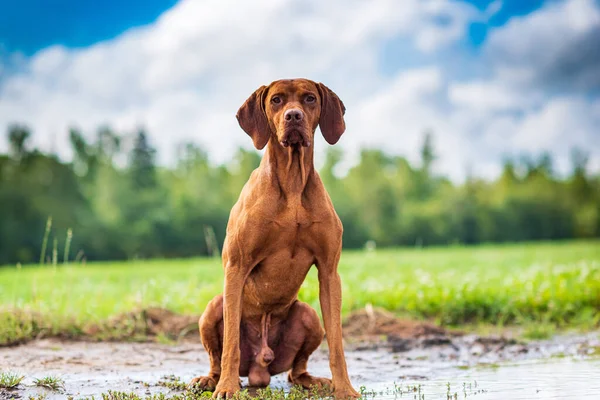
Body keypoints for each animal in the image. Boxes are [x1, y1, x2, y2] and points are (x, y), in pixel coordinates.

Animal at [190, 79, 358, 400]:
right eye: (276, 100)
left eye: (310, 98)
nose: (294, 116)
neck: (292, 183)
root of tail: (261, 366)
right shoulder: (236, 267)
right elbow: (230, 344)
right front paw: (227, 388)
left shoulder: (329, 271)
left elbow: (337, 343)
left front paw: (345, 388)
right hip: (213, 308)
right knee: (217, 355)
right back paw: (211, 380)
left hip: (308, 315)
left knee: (295, 370)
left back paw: (313, 380)